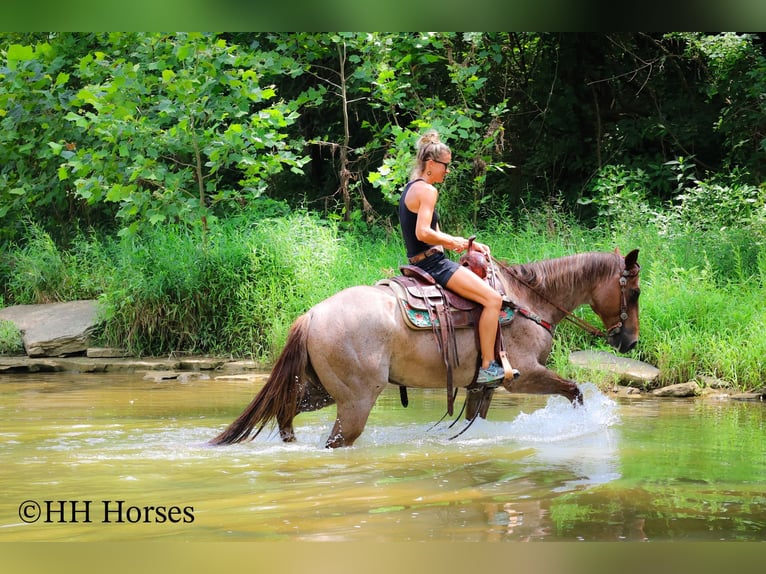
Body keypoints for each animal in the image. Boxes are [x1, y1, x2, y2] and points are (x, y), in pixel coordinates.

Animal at [210, 248, 641, 448]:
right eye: (634, 292)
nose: (630, 340)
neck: (526, 301)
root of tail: (312, 315)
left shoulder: (481, 387)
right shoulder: (522, 377)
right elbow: (575, 391)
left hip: (318, 391)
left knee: (284, 413)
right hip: (354, 401)